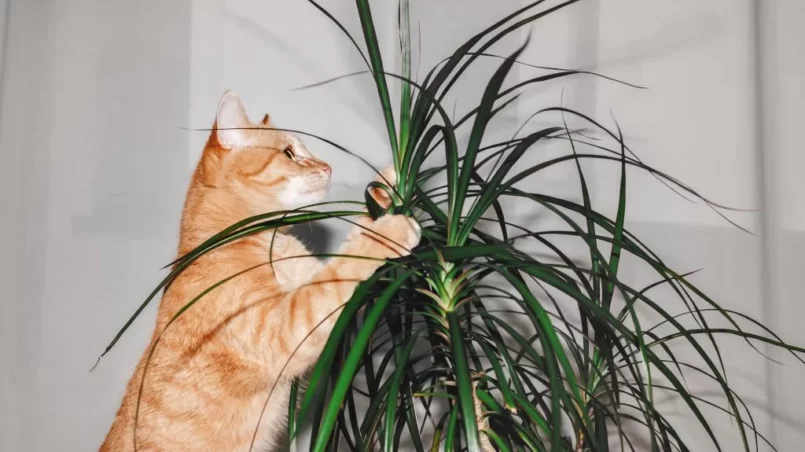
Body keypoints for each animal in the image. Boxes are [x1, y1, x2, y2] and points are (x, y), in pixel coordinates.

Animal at [100, 92, 420, 452]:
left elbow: (353, 240)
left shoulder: (311, 283)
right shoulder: (288, 324)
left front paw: (386, 185)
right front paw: (392, 230)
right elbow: (345, 267)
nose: (327, 166)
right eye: (290, 154)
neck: (269, 243)